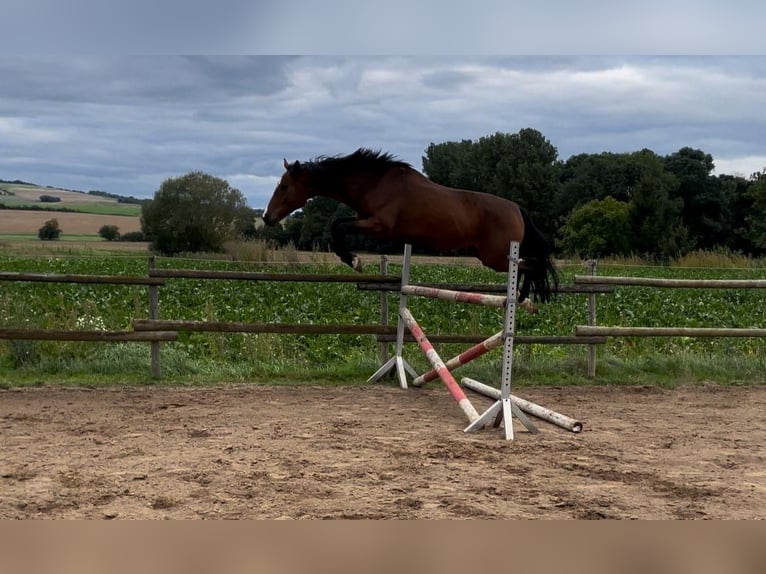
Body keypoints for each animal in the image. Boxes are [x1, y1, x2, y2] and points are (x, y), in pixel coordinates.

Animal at [264, 151, 560, 308]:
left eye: (285, 187)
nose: (267, 217)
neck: (373, 183)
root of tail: (516, 209)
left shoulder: (379, 227)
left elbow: (337, 227)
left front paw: (355, 261)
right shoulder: (367, 221)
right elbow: (336, 225)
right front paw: (353, 259)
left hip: (496, 257)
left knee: (530, 265)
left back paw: (521, 298)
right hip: (490, 256)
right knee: (530, 265)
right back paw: (521, 298)